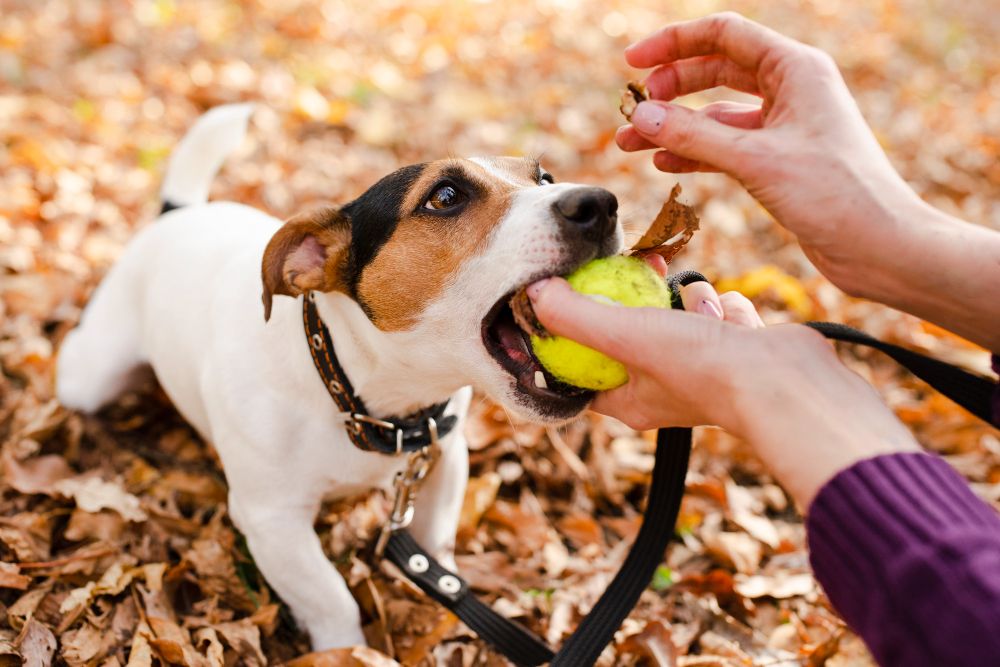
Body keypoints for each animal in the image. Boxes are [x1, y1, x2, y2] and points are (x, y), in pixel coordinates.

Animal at [56, 105, 624, 652]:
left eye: (545, 177)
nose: (600, 203)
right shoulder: (271, 519)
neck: (356, 391)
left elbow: (436, 543)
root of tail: (180, 213)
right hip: (90, 376)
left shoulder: (445, 456)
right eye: (445, 196)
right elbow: (332, 598)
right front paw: (346, 649)